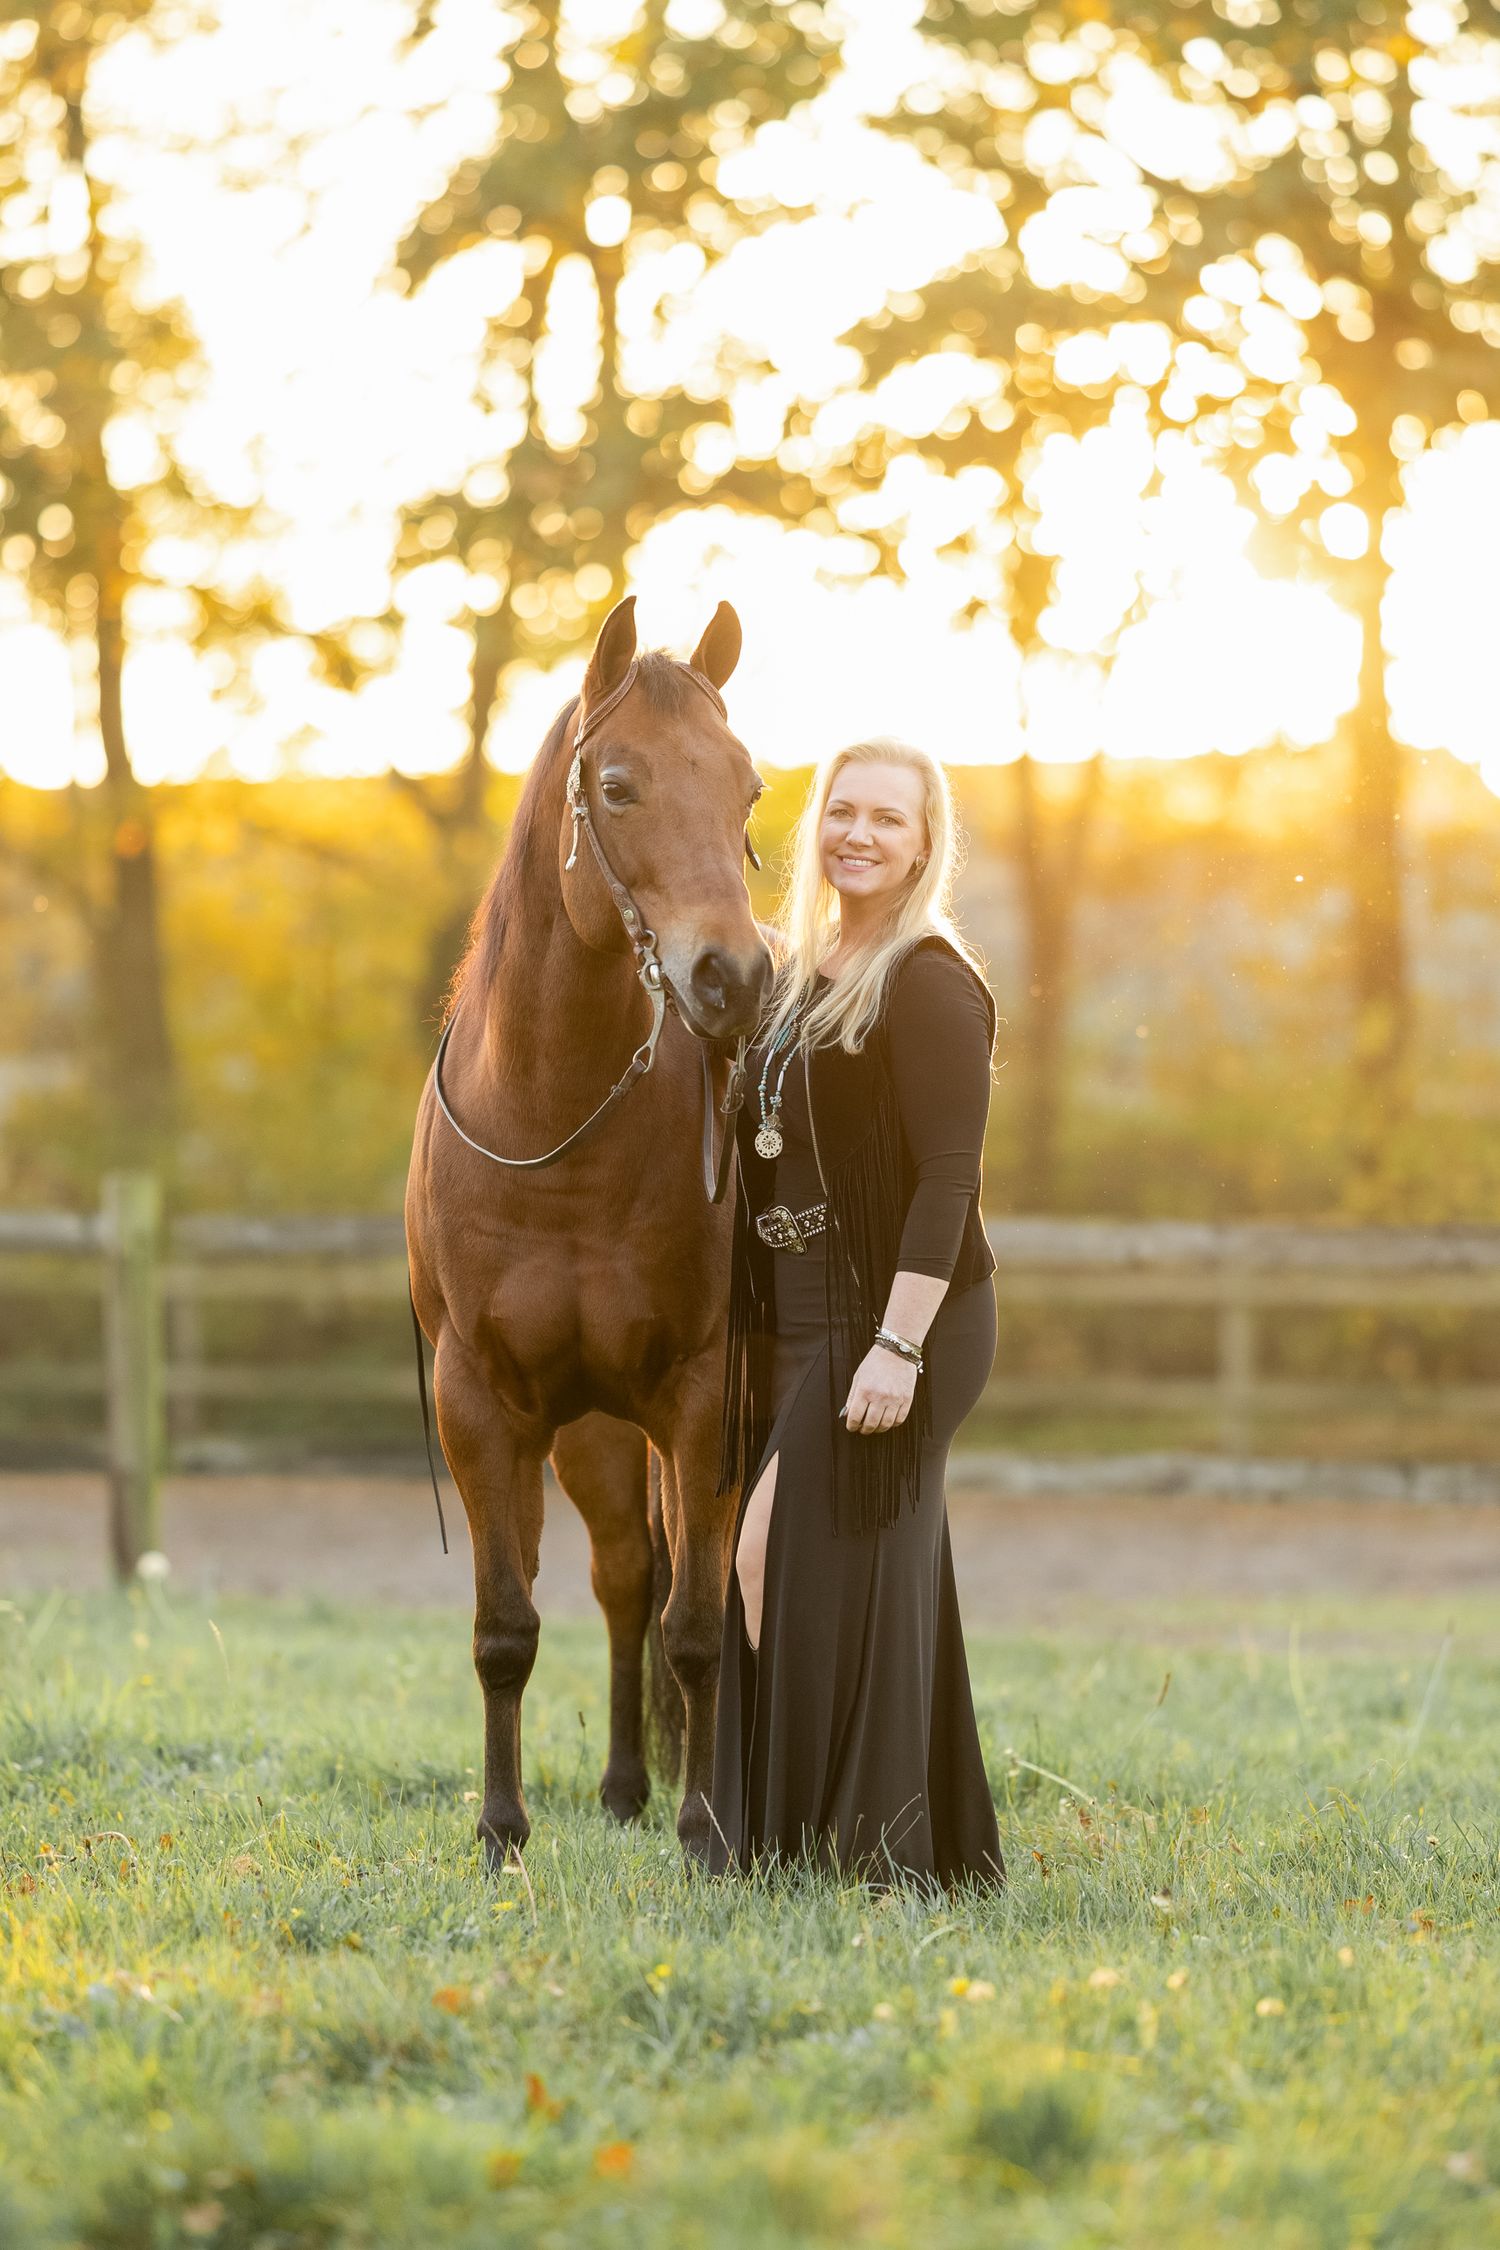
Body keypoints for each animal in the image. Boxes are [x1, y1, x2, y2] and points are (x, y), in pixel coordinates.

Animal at [405, 593, 772, 1868]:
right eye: (618, 787)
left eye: (747, 789)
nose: (735, 979)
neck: (555, 1124)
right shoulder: (479, 1404)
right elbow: (505, 1627)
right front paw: (501, 1831)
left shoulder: (704, 1398)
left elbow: (699, 1625)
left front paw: (707, 1835)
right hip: (591, 1437)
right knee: (618, 1578)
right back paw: (617, 1789)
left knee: (654, 1589)